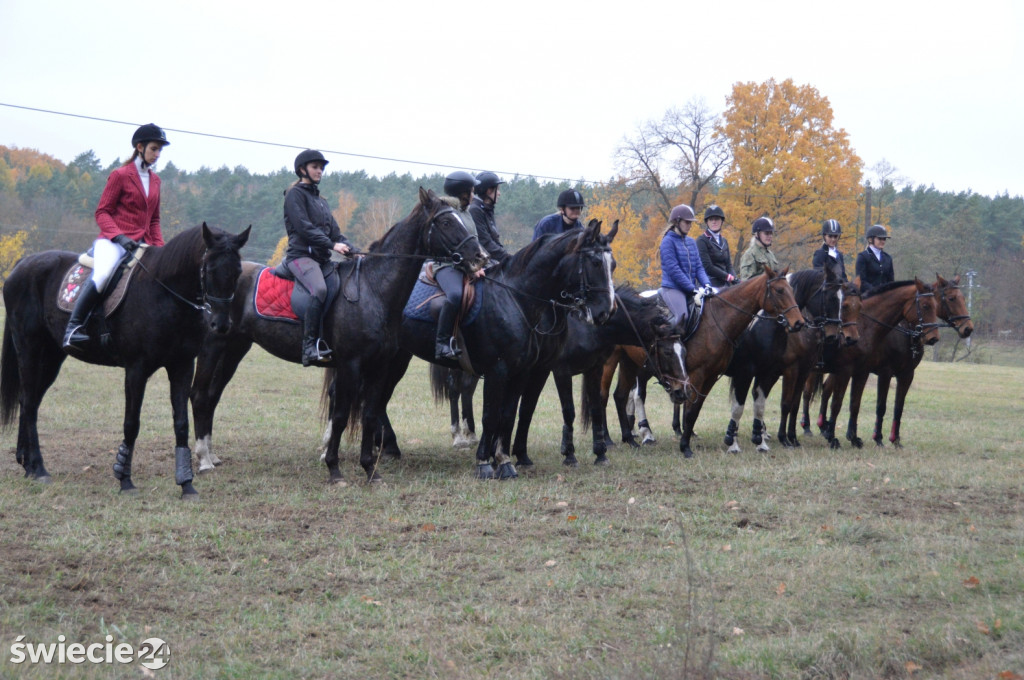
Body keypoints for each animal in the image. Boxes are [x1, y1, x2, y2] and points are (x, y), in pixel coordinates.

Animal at [1, 225, 249, 497]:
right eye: (209, 269)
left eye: (238, 272)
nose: (221, 325)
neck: (164, 292)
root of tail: (23, 264)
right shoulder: (136, 369)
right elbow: (131, 423)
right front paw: (125, 481)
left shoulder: (181, 366)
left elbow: (181, 423)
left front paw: (186, 484)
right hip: (29, 348)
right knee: (29, 403)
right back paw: (39, 468)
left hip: (51, 357)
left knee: (29, 401)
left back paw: (27, 465)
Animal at [191, 186, 487, 483]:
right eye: (446, 222)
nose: (480, 257)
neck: (373, 289)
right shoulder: (350, 365)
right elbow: (343, 414)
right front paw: (334, 469)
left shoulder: (378, 365)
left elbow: (369, 413)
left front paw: (370, 469)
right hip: (213, 346)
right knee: (200, 394)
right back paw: (203, 459)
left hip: (234, 349)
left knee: (213, 394)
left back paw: (212, 455)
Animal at [598, 266, 806, 456]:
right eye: (779, 291)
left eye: (791, 290)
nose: (798, 323)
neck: (719, 321)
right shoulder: (733, 374)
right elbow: (732, 408)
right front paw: (727, 443)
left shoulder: (751, 375)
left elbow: (753, 406)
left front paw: (759, 440)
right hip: (616, 364)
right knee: (616, 395)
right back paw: (623, 437)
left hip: (631, 363)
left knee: (621, 395)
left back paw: (630, 437)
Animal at [720, 264, 864, 450]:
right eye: (833, 298)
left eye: (857, 306)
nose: (836, 336)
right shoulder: (783, 371)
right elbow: (783, 403)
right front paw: (783, 438)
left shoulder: (799, 372)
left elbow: (793, 404)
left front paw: (792, 438)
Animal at [815, 274, 966, 448]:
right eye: (951, 298)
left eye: (936, 305)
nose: (968, 328)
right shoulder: (881, 373)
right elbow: (876, 406)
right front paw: (877, 438)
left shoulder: (904, 375)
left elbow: (894, 407)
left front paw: (894, 439)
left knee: (826, 389)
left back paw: (822, 427)